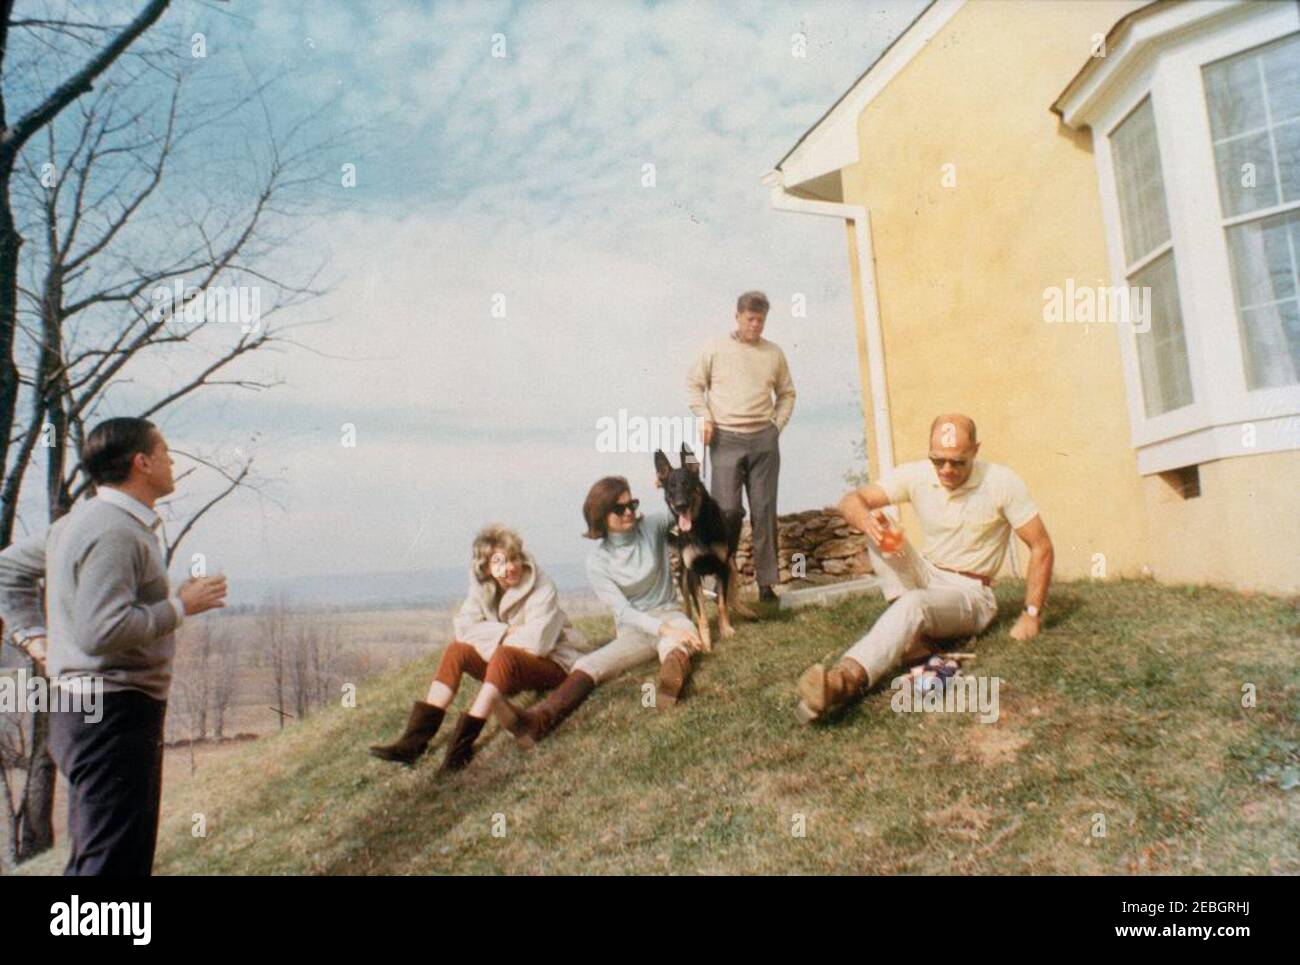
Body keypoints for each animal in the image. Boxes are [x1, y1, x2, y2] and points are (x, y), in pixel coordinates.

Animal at [655, 444, 759, 652]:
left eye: (687, 484)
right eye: (671, 488)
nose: (680, 506)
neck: (699, 528)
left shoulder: (722, 567)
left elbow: (722, 604)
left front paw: (726, 629)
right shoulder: (693, 574)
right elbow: (701, 612)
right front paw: (705, 640)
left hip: (731, 566)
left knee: (731, 597)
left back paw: (746, 612)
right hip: (683, 577)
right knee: (688, 606)